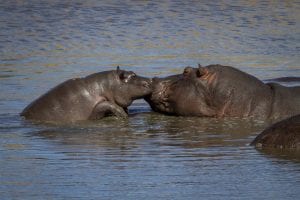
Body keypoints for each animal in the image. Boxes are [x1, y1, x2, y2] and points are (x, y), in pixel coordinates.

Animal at [21, 67, 152, 122]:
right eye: (132, 75)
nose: (150, 80)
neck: (107, 86)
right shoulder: (97, 107)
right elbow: (107, 106)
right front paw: (123, 115)